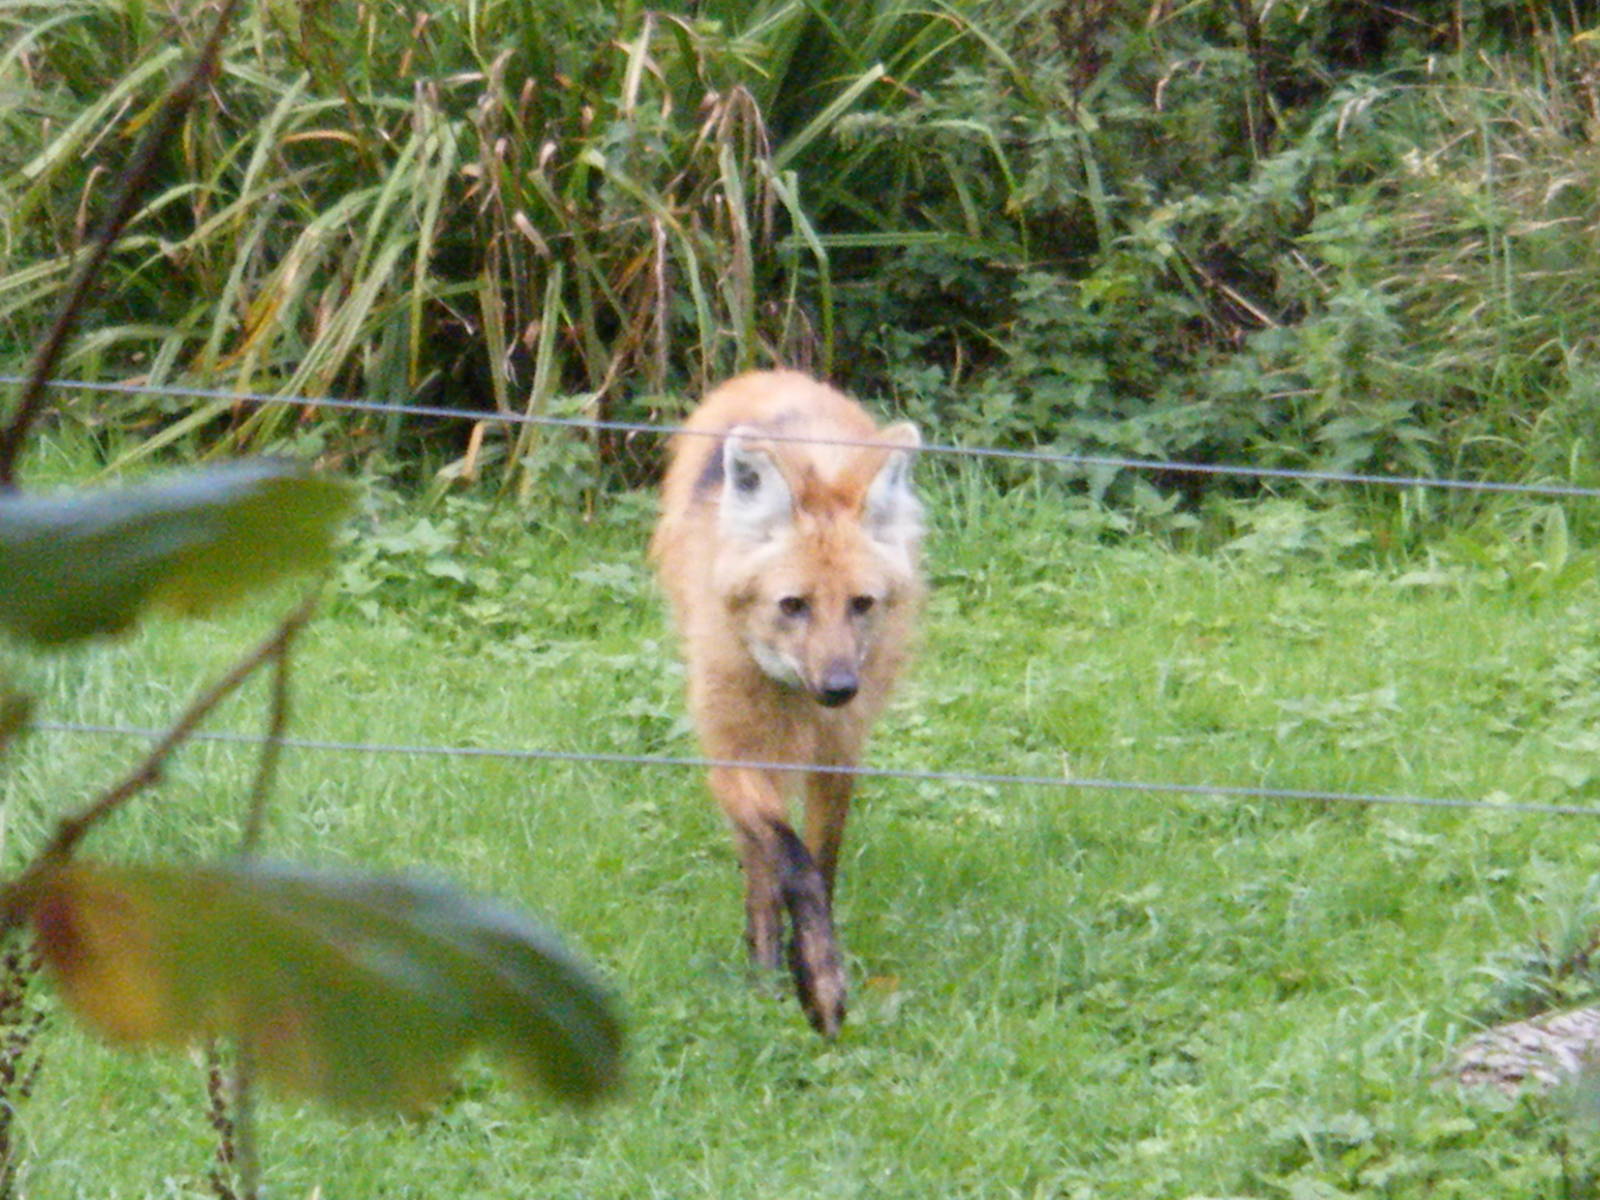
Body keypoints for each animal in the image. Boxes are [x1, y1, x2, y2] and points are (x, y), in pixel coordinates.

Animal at [650, 369, 924, 1037]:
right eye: (792, 605)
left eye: (861, 604)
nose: (840, 688)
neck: (793, 695)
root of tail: (771, 374)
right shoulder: (731, 753)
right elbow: (790, 861)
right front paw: (811, 982)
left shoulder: (839, 753)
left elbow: (821, 865)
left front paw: (819, 973)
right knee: (758, 857)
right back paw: (762, 965)